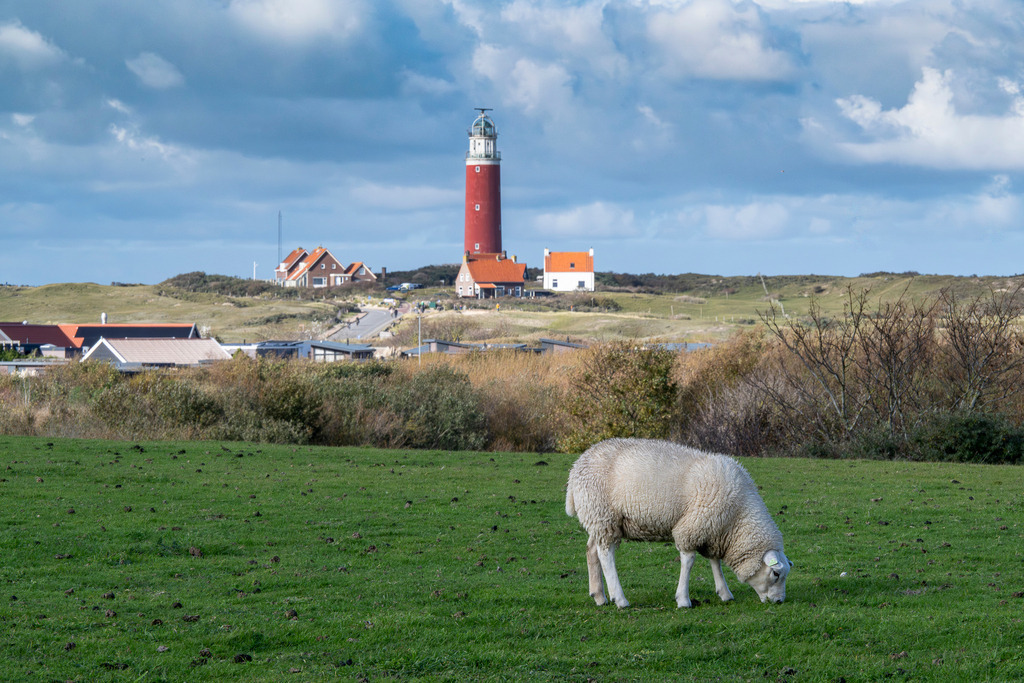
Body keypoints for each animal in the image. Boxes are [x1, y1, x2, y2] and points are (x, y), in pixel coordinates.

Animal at [565, 437, 792, 608]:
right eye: (776, 573)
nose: (779, 601)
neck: (738, 515)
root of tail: (576, 468)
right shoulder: (693, 526)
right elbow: (688, 561)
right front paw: (683, 599)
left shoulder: (713, 529)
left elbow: (714, 561)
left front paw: (724, 593)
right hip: (604, 515)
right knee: (606, 555)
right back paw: (619, 599)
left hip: (598, 520)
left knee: (592, 550)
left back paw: (599, 596)